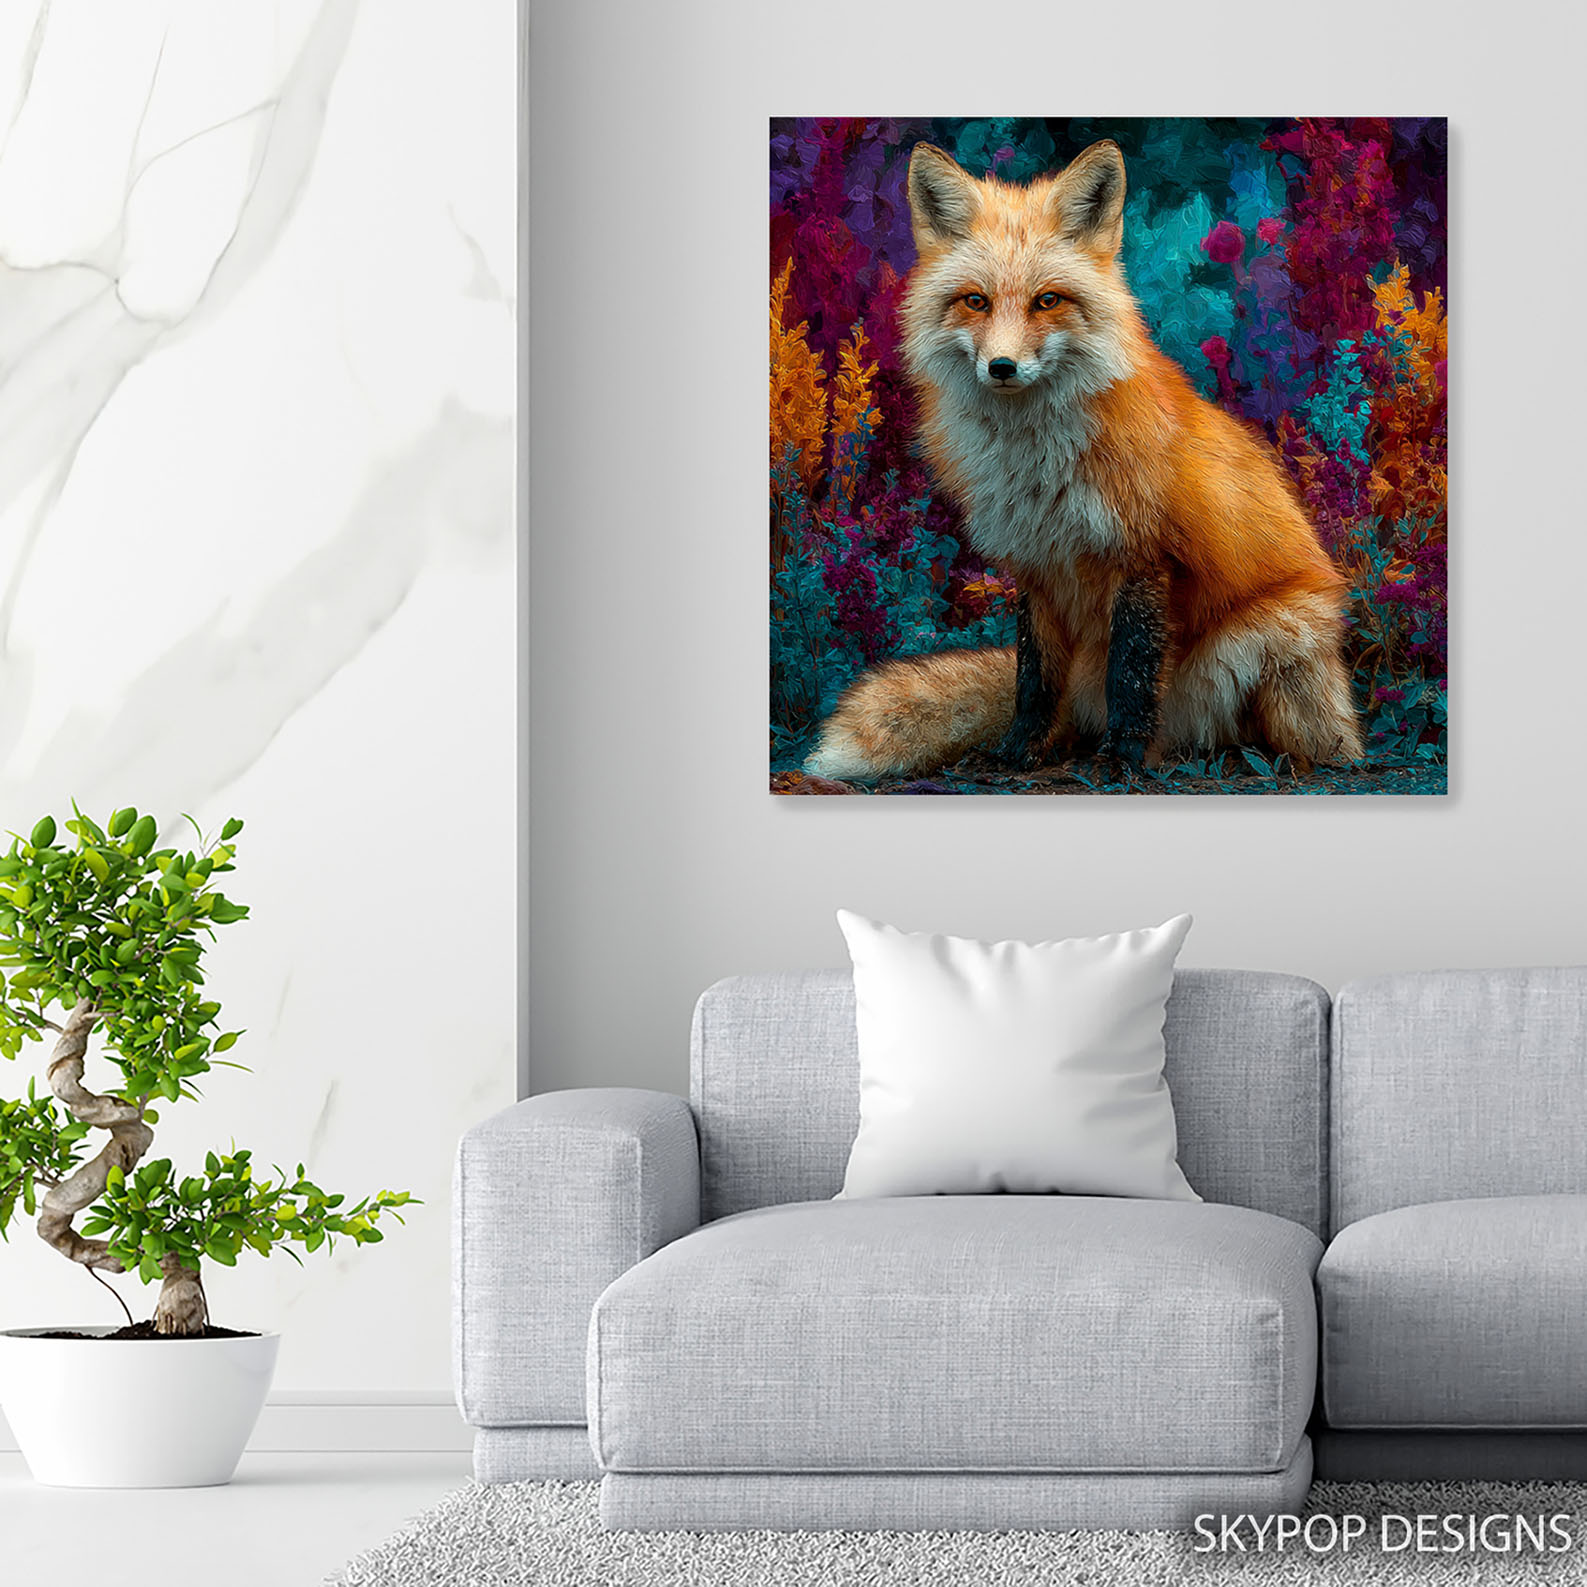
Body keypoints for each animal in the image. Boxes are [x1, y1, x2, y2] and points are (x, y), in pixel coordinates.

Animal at [804, 139, 1363, 782]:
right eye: (976, 302)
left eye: (1047, 301)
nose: (1001, 367)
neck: (1037, 465)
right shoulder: (1035, 565)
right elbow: (1033, 681)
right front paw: (1018, 754)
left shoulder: (1143, 555)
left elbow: (1133, 676)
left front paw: (1122, 760)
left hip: (1275, 632)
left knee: (1281, 739)